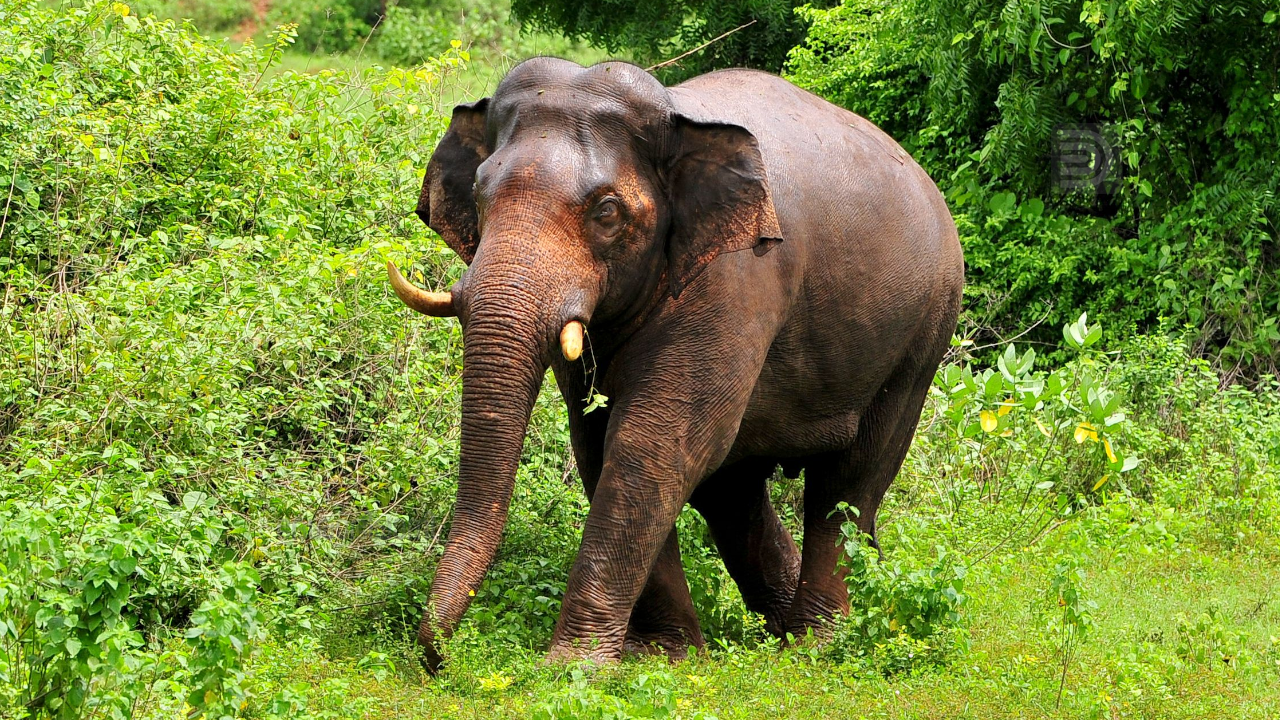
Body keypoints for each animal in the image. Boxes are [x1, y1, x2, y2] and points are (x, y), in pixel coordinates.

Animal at [386, 57, 964, 671]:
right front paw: (661, 656)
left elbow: (655, 442)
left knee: (848, 482)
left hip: (924, 328)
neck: (674, 115)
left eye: (607, 212)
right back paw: (782, 629)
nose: (438, 658)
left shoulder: (736, 277)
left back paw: (817, 644)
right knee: (733, 492)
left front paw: (573, 667)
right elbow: (597, 440)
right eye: (477, 193)